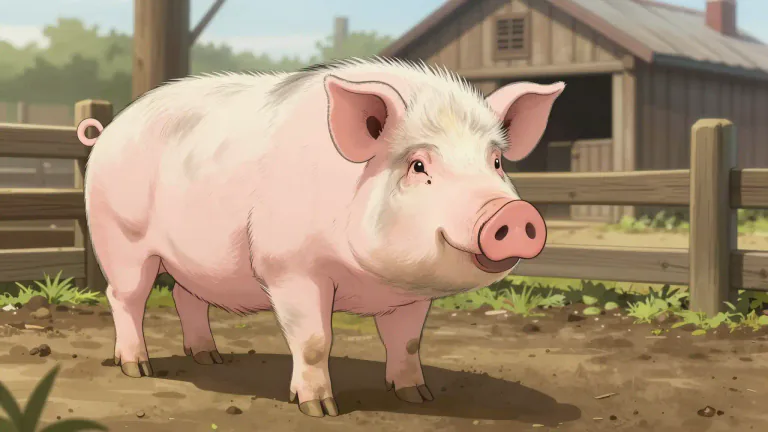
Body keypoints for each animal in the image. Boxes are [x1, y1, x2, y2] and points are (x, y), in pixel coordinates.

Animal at [76, 57, 563, 418]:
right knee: (125, 297)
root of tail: (109, 130)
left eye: (496, 162)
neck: (373, 281)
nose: (515, 212)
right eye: (419, 165)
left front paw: (416, 396)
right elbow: (314, 342)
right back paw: (137, 368)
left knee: (185, 297)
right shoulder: (289, 269)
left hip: (192, 261)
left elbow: (407, 342)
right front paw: (320, 410)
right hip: (119, 237)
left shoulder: (412, 295)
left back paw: (210, 358)